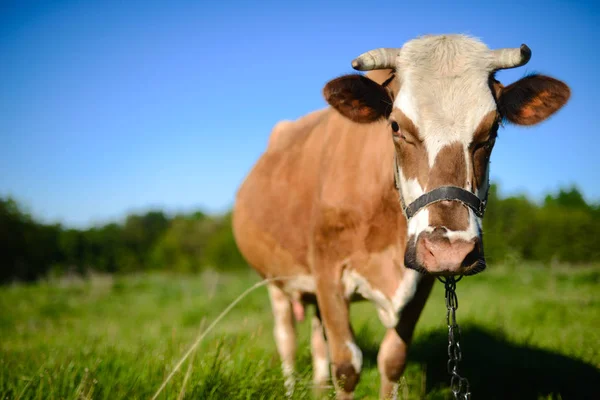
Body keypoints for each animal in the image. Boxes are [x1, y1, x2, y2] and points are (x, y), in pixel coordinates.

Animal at [232, 35, 568, 400]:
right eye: (395, 125)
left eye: (492, 129)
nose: (450, 251)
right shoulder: (327, 272)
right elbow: (346, 366)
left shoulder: (420, 280)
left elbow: (392, 360)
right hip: (274, 280)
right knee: (286, 339)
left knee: (318, 340)